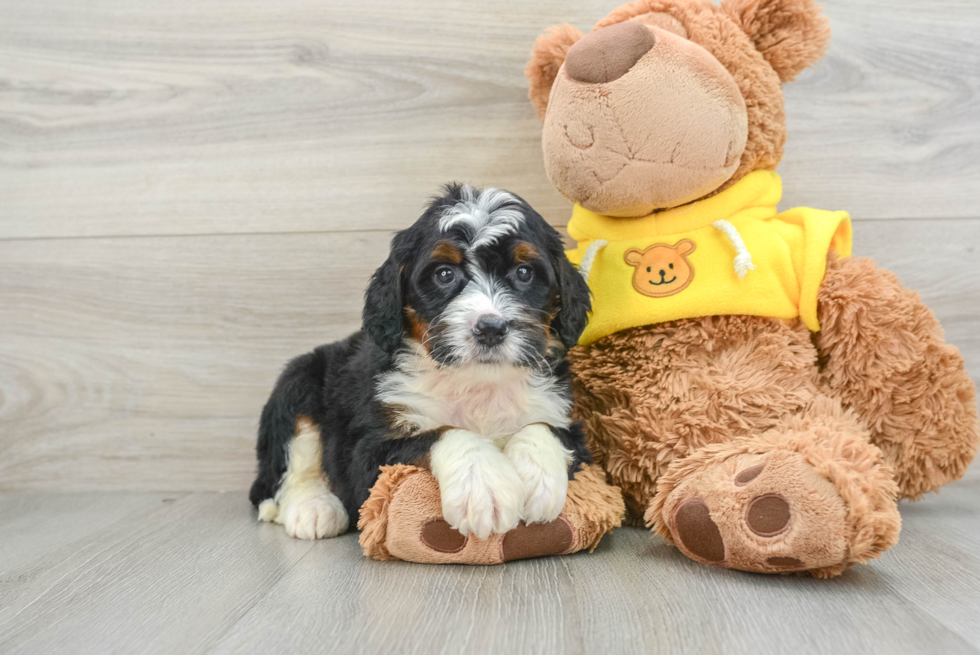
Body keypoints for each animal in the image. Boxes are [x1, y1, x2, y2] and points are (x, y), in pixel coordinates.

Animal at [249, 186, 592, 544]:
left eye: (524, 272)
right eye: (445, 274)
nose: (491, 328)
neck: (477, 382)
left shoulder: (569, 423)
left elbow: (544, 428)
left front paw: (538, 480)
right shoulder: (367, 455)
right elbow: (440, 433)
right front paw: (482, 486)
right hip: (298, 381)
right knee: (286, 471)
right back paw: (314, 508)